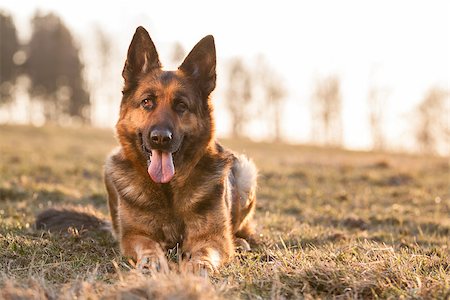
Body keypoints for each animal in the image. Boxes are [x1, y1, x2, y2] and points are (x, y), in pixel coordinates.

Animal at [36, 26, 256, 274]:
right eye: (147, 102)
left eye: (181, 105)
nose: (160, 138)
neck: (168, 191)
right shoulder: (134, 235)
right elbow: (148, 246)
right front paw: (152, 261)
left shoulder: (213, 238)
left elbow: (205, 252)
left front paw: (198, 266)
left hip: (246, 172)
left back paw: (240, 240)